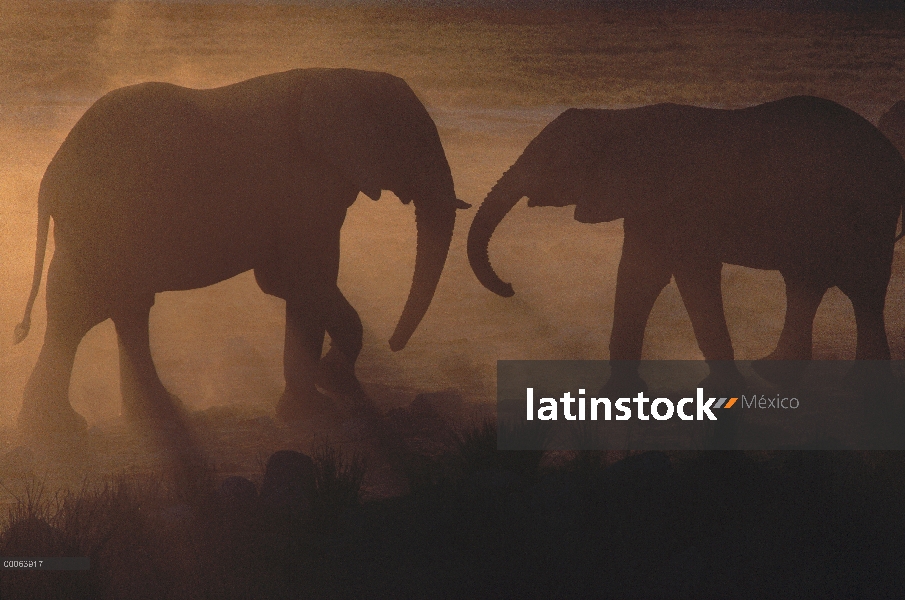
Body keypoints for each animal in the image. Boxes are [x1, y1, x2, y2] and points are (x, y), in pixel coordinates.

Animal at [15, 69, 466, 436]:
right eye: (413, 140)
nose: (394, 344)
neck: (344, 76)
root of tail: (51, 174)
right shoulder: (304, 184)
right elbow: (304, 278)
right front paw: (325, 390)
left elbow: (291, 284)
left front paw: (313, 403)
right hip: (104, 222)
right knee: (90, 310)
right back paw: (66, 429)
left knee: (105, 308)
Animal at [466, 97, 904, 390]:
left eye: (551, 160)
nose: (509, 287)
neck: (621, 117)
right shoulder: (648, 207)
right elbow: (639, 276)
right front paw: (620, 393)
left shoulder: (680, 205)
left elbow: (690, 277)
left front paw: (724, 390)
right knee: (804, 284)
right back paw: (773, 371)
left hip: (868, 213)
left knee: (862, 291)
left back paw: (862, 386)